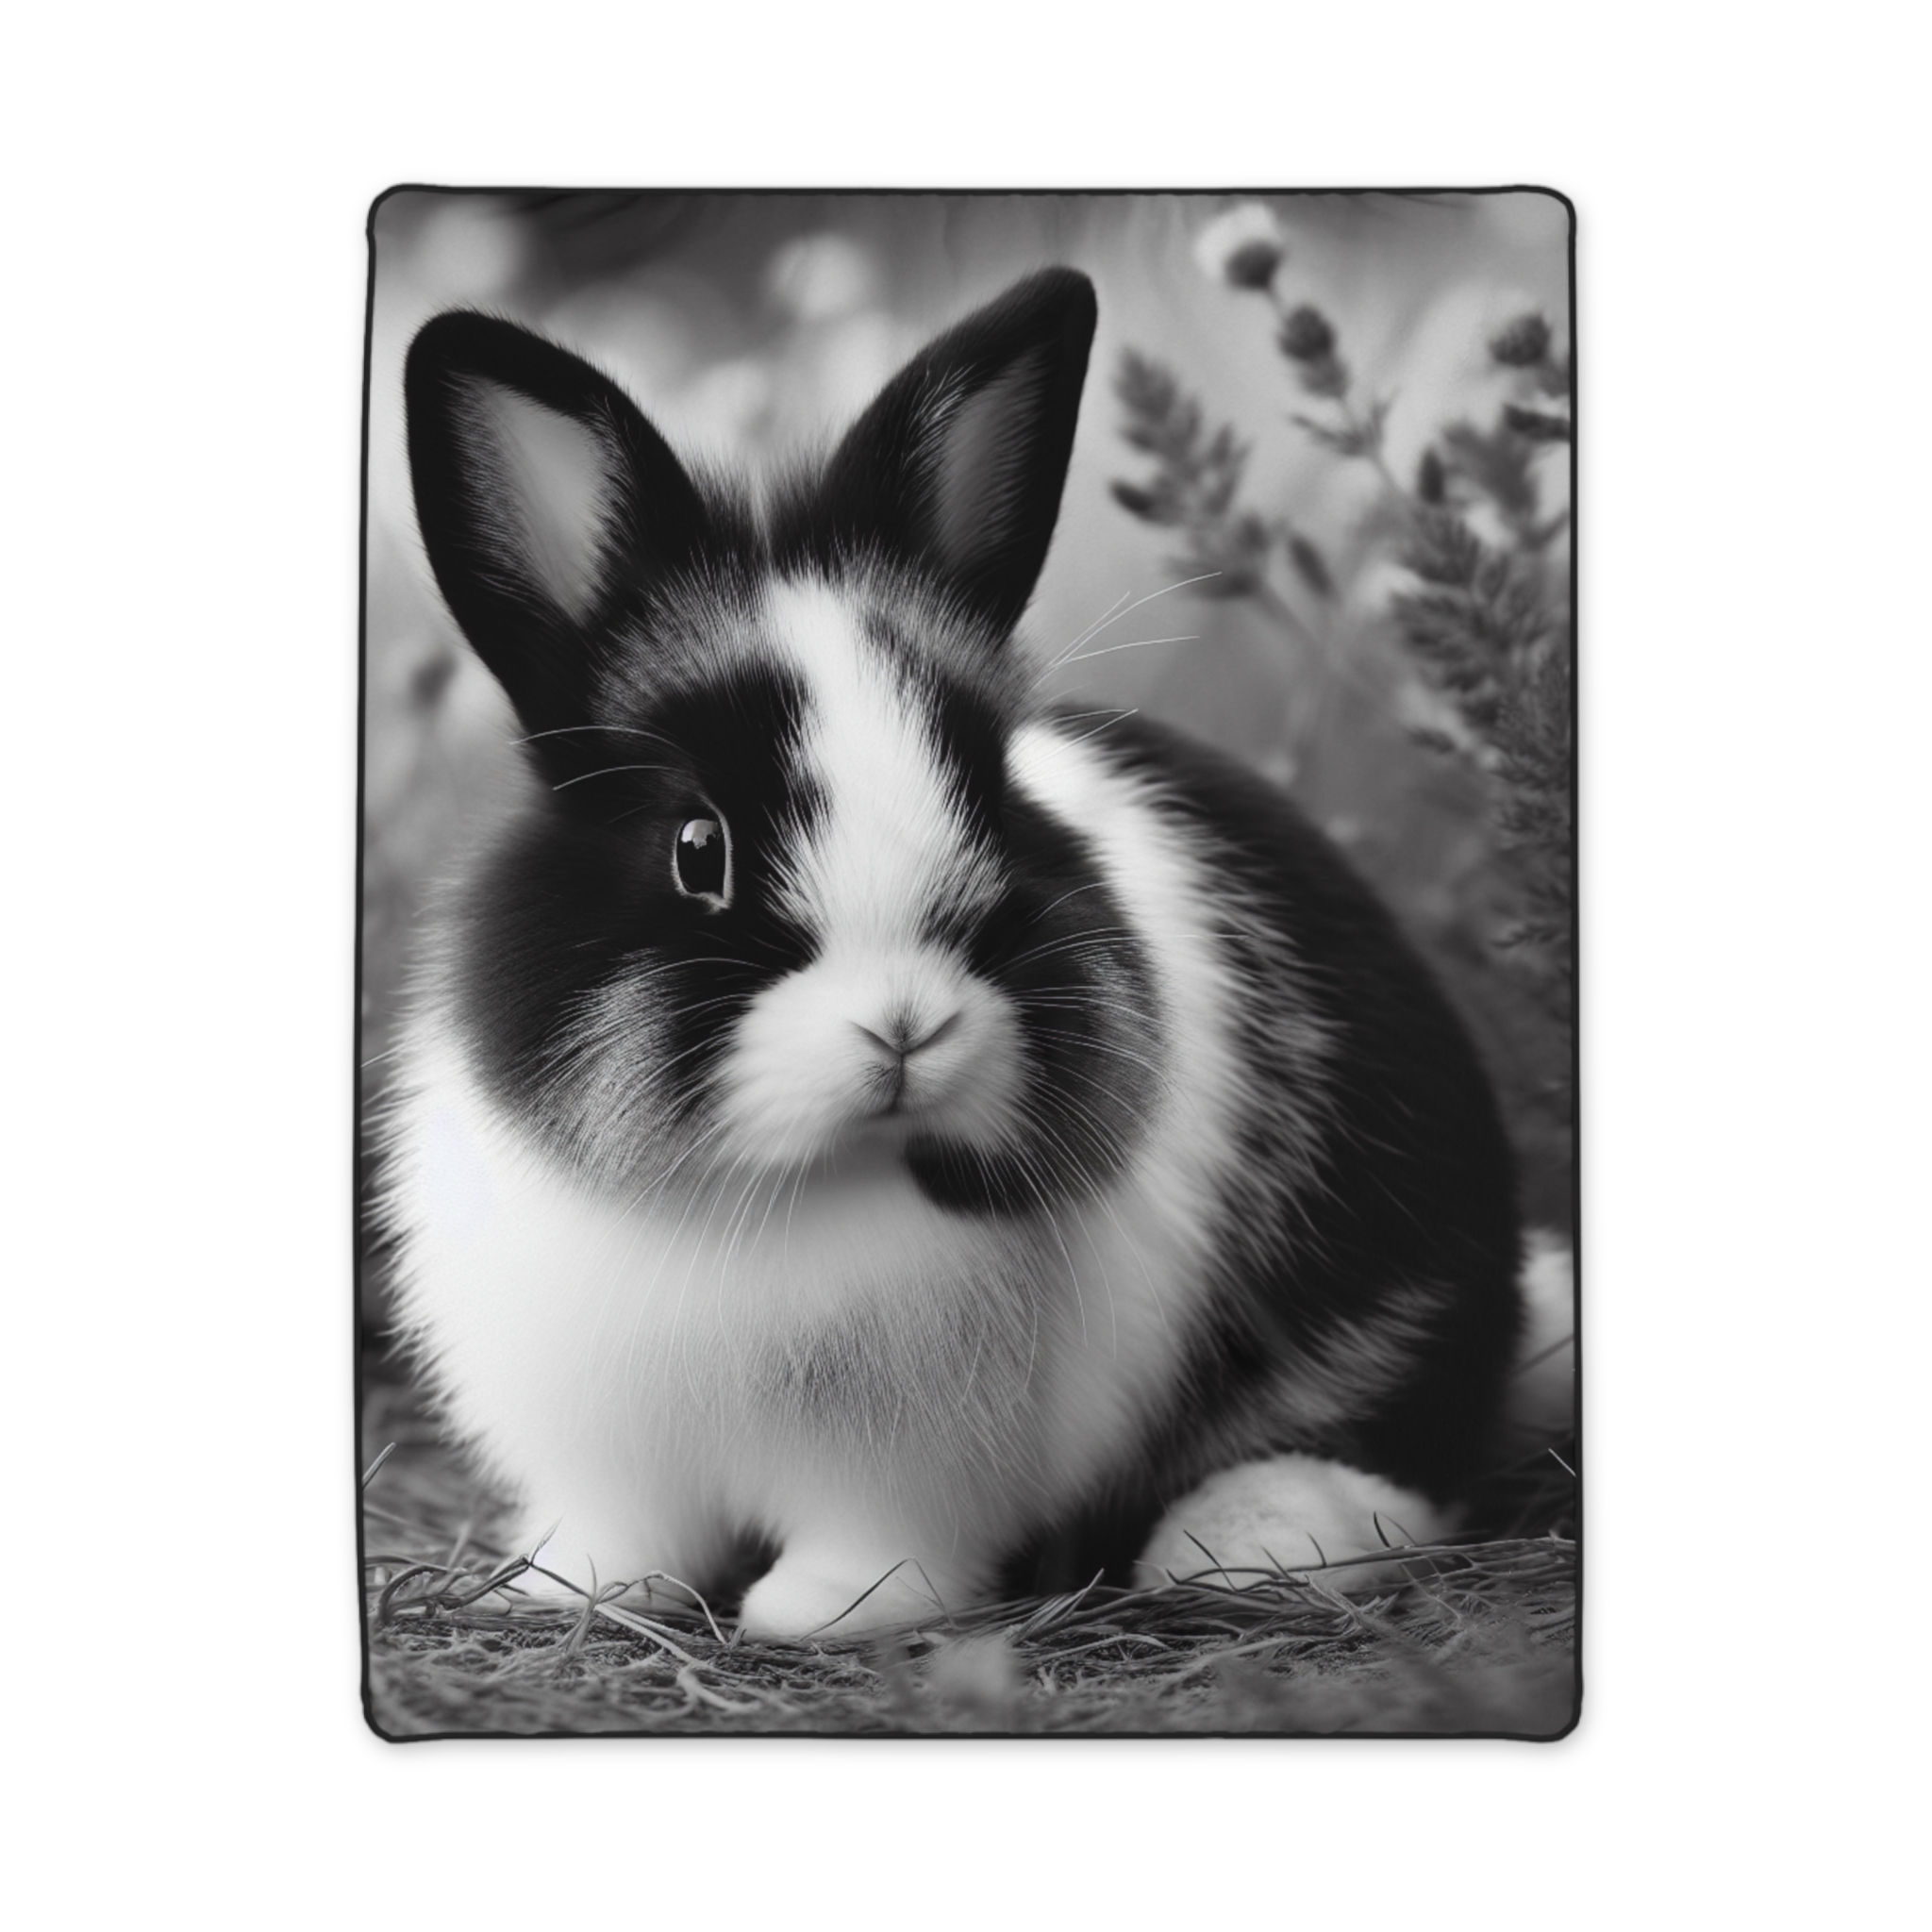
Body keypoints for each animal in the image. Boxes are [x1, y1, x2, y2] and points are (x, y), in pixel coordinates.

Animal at [378, 267, 1540, 1640]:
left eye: (992, 801)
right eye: (697, 847)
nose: (906, 1026)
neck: (780, 1194)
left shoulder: (901, 1471)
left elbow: (878, 1549)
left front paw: (819, 1614)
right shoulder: (604, 1452)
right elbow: (621, 1537)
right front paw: (568, 1595)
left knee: (1400, 1446)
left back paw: (1244, 1539)